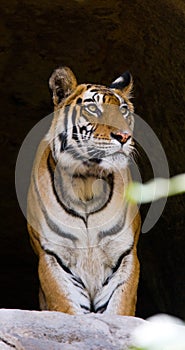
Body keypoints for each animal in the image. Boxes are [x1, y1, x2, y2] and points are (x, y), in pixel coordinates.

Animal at [27, 65, 140, 314]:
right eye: (92, 108)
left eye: (124, 111)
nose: (124, 136)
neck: (86, 184)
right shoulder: (53, 257)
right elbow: (65, 308)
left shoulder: (124, 255)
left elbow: (119, 309)